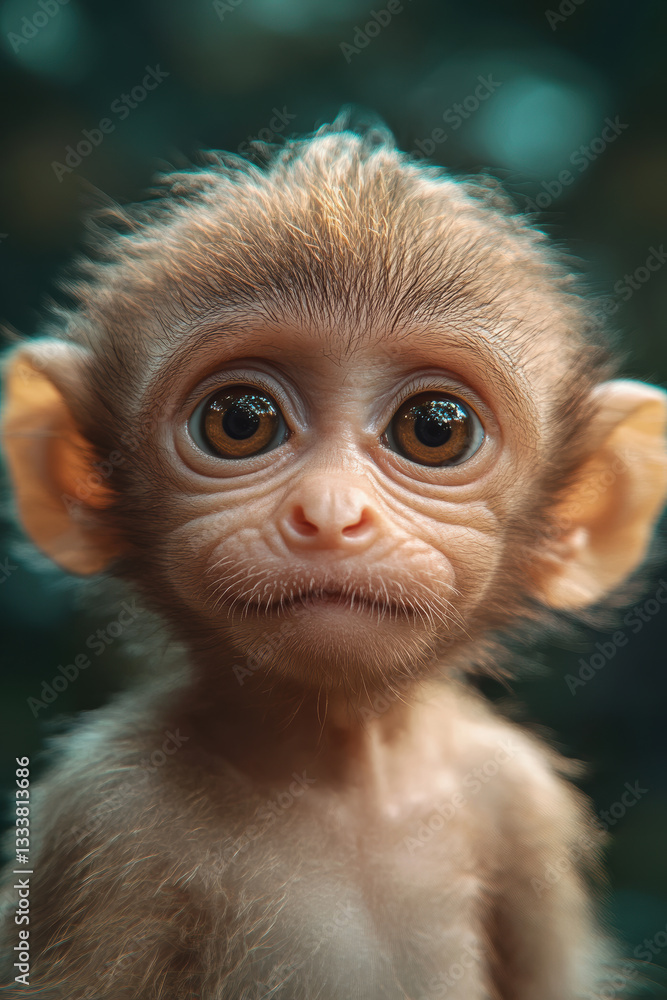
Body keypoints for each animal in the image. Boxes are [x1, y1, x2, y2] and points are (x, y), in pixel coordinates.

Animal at [0, 119, 666, 1000]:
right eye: (239, 421)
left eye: (434, 428)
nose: (328, 514)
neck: (346, 773)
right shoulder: (103, 822)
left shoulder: (520, 797)